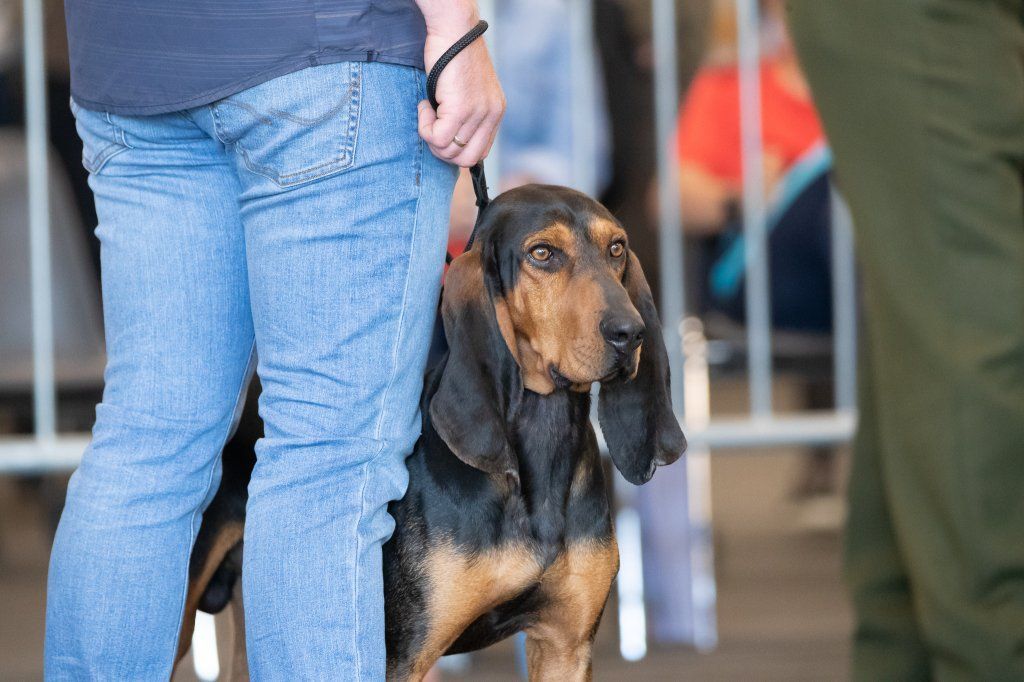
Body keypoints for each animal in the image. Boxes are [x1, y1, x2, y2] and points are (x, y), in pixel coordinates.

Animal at [178, 183, 688, 675]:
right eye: (542, 253)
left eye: (616, 248)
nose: (630, 333)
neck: (542, 443)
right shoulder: (402, 654)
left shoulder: (565, 646)